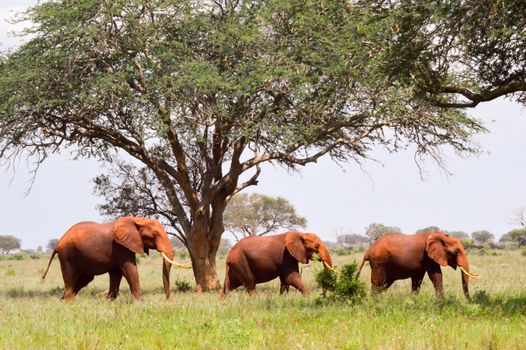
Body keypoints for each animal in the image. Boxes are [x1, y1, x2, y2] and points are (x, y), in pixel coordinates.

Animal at [42, 216, 192, 300]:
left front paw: (110, 301)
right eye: (154, 235)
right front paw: (139, 302)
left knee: (84, 280)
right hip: (67, 255)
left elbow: (116, 273)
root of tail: (57, 244)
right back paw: (67, 302)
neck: (137, 220)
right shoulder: (120, 246)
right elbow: (130, 269)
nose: (167, 300)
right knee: (71, 280)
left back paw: (62, 301)